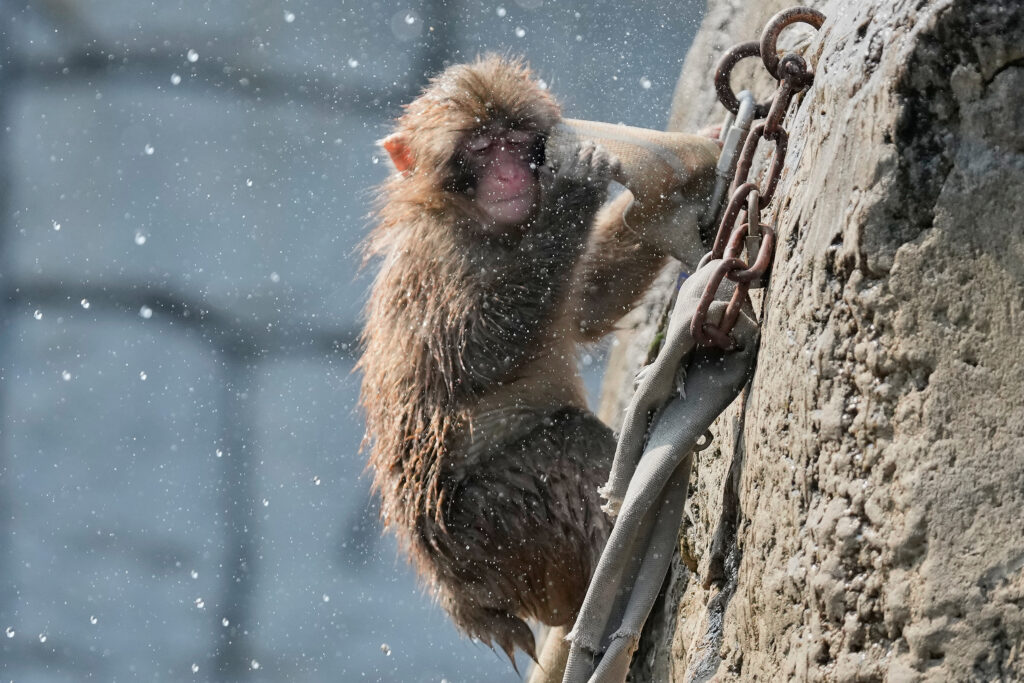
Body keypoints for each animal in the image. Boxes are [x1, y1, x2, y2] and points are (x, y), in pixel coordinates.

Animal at [358, 55, 718, 664]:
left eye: (517, 141)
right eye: (482, 149)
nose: (512, 177)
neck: (487, 229)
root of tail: (464, 601)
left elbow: (587, 301)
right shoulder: (439, 263)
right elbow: (472, 355)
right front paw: (575, 188)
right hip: (490, 532)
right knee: (565, 445)